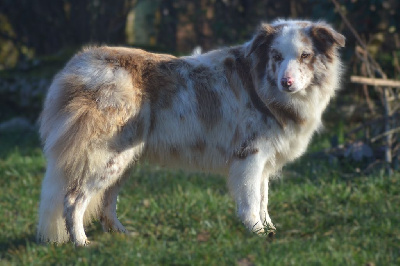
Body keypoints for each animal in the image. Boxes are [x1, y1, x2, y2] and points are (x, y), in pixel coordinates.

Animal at [37, 19, 344, 246]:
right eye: (277, 57)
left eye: (305, 56)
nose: (286, 82)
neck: (264, 86)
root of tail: (75, 67)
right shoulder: (249, 157)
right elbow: (251, 202)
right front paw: (257, 233)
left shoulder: (264, 160)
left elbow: (263, 199)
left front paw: (270, 230)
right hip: (105, 157)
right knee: (73, 200)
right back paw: (82, 244)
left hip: (124, 160)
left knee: (105, 203)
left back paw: (123, 237)